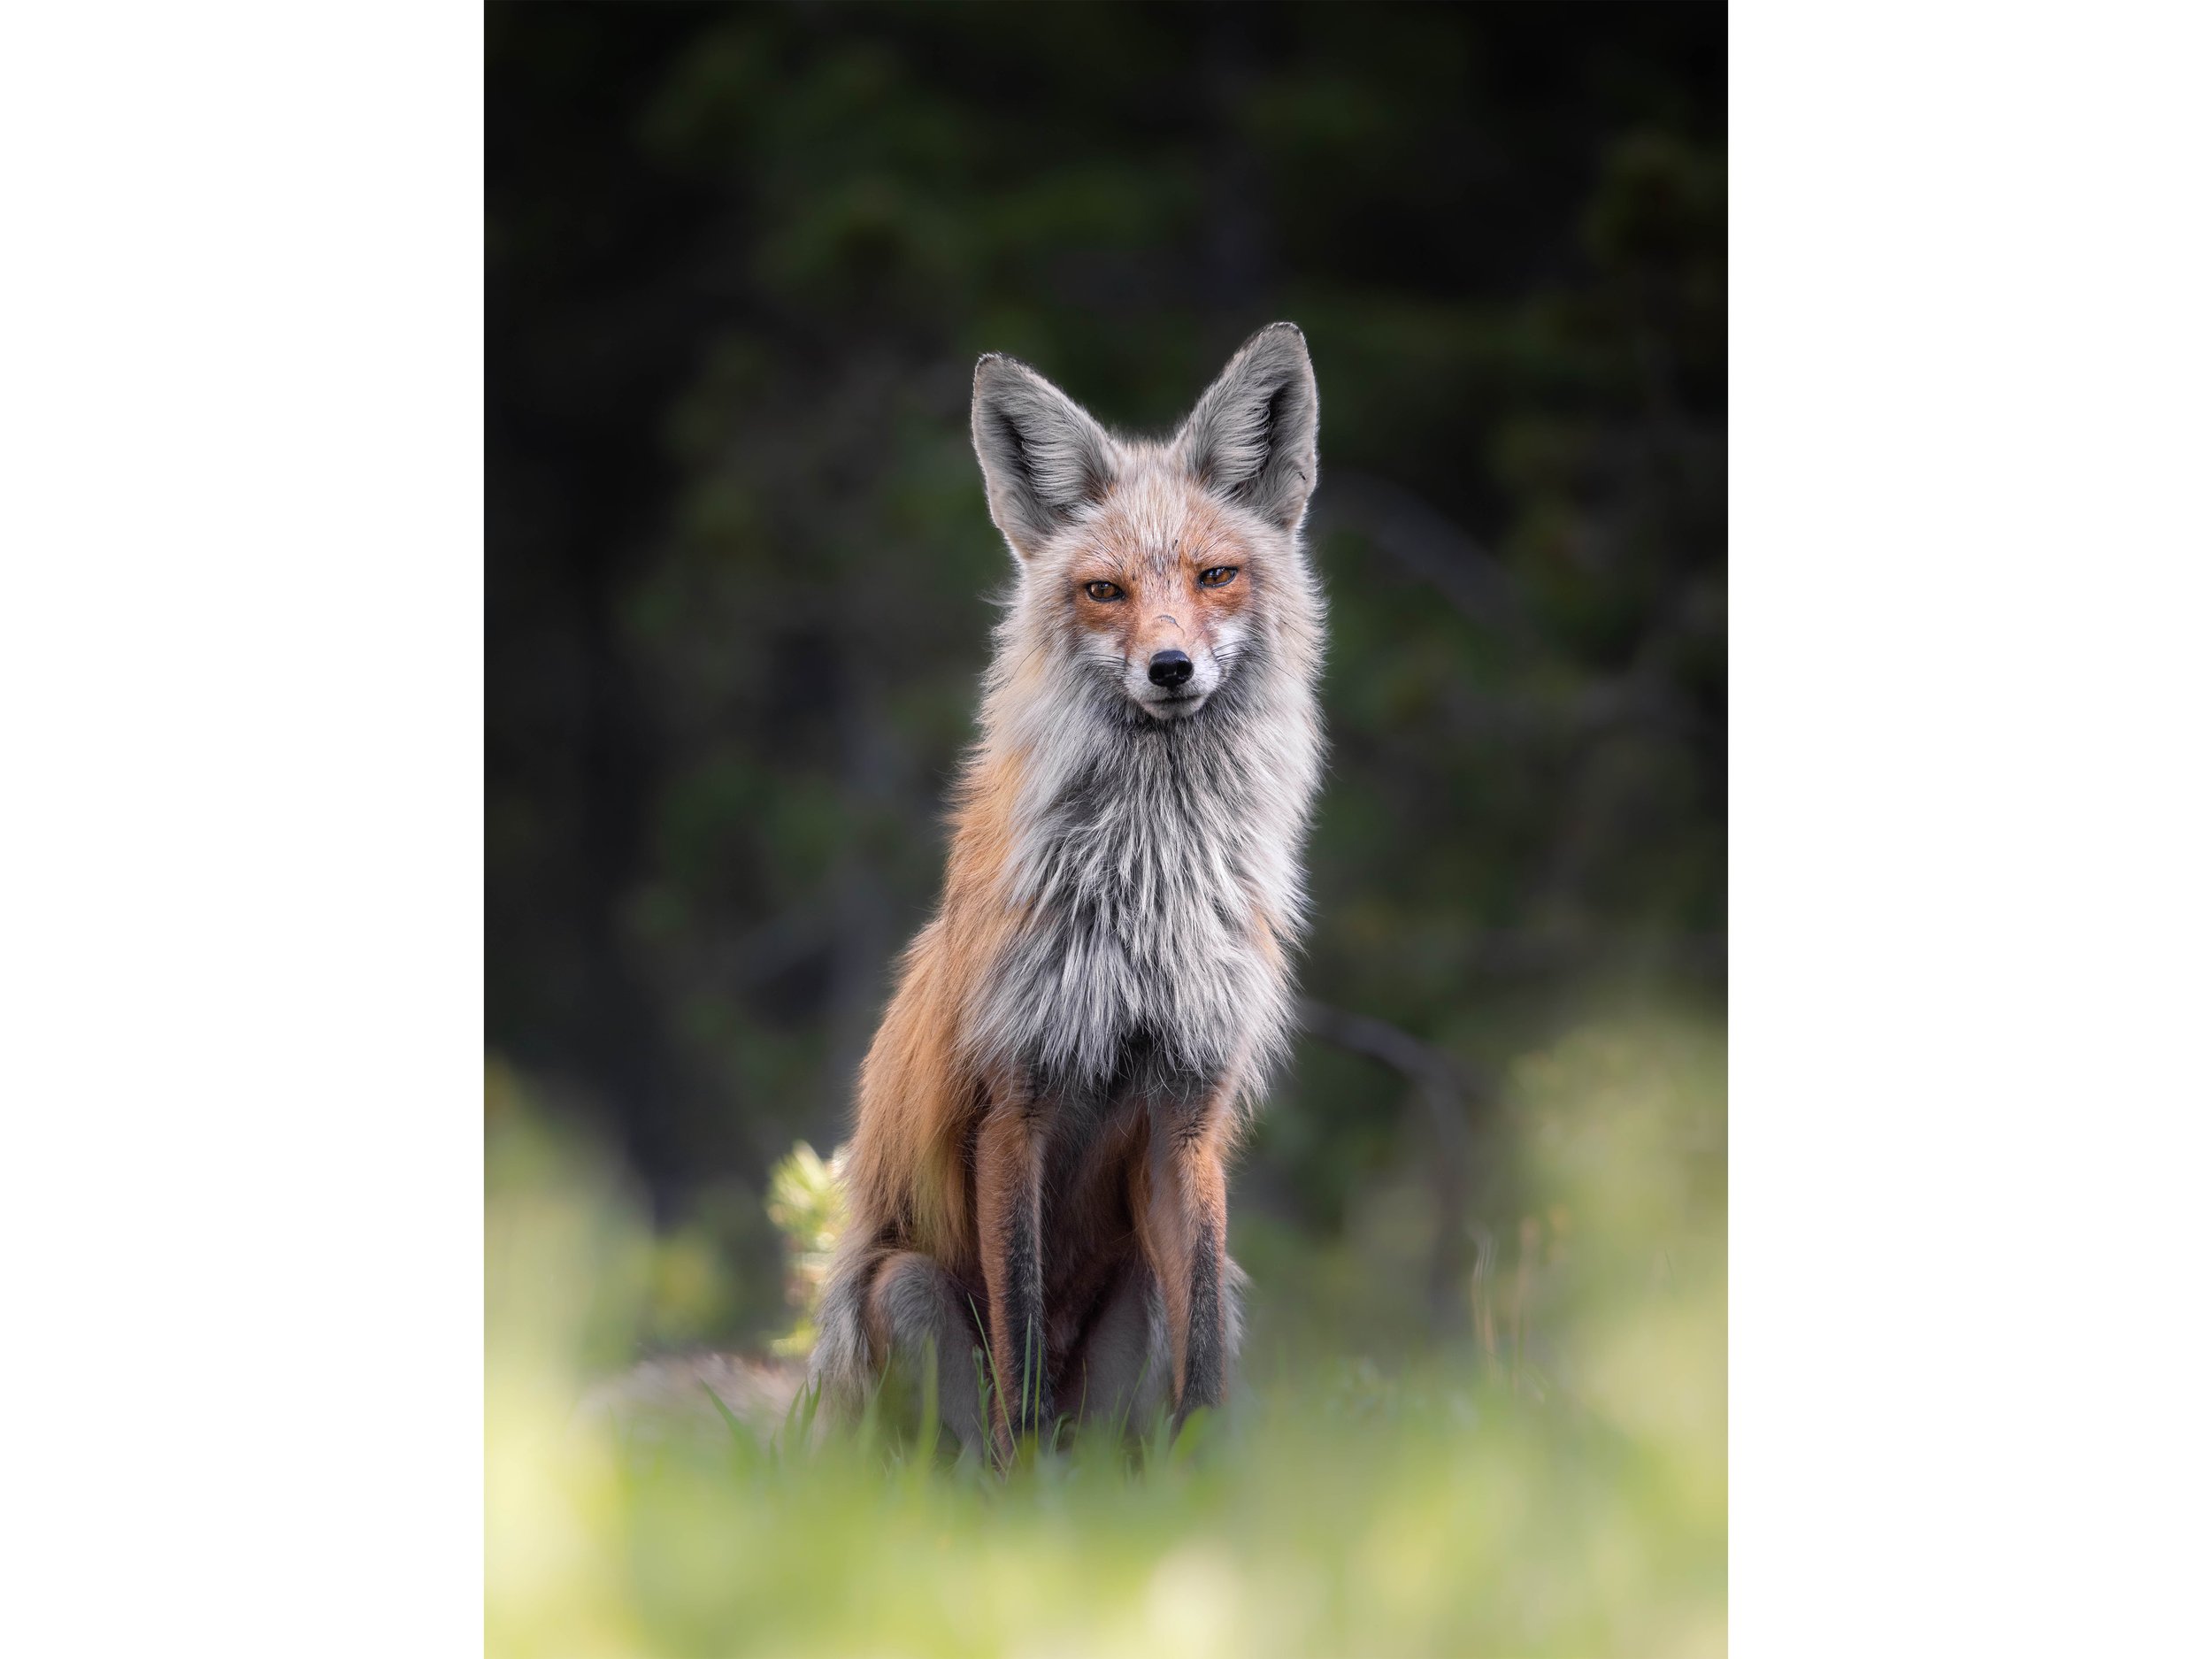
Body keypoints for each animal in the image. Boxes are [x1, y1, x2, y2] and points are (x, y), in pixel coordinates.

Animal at [807, 323, 1325, 1465]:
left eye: (1214, 575)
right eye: (1103, 592)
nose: (1171, 668)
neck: (1146, 892)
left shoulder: (1188, 1108)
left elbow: (1204, 1368)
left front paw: (1210, 1488)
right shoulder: (1015, 1103)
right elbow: (1022, 1348)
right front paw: (1028, 1500)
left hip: (1145, 1287)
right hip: (903, 1287)